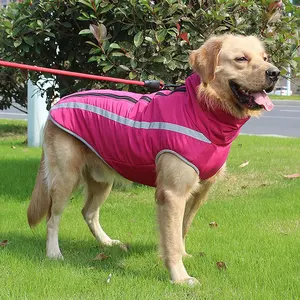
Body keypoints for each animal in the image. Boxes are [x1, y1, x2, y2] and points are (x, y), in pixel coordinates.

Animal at [27, 34, 278, 284]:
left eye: (265, 58)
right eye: (241, 59)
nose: (275, 73)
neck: (202, 108)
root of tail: (58, 103)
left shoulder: (199, 192)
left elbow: (182, 229)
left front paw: (184, 256)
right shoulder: (172, 193)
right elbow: (172, 239)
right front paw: (180, 277)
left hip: (102, 181)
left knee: (88, 212)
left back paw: (106, 242)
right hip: (65, 178)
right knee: (52, 218)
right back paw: (54, 253)